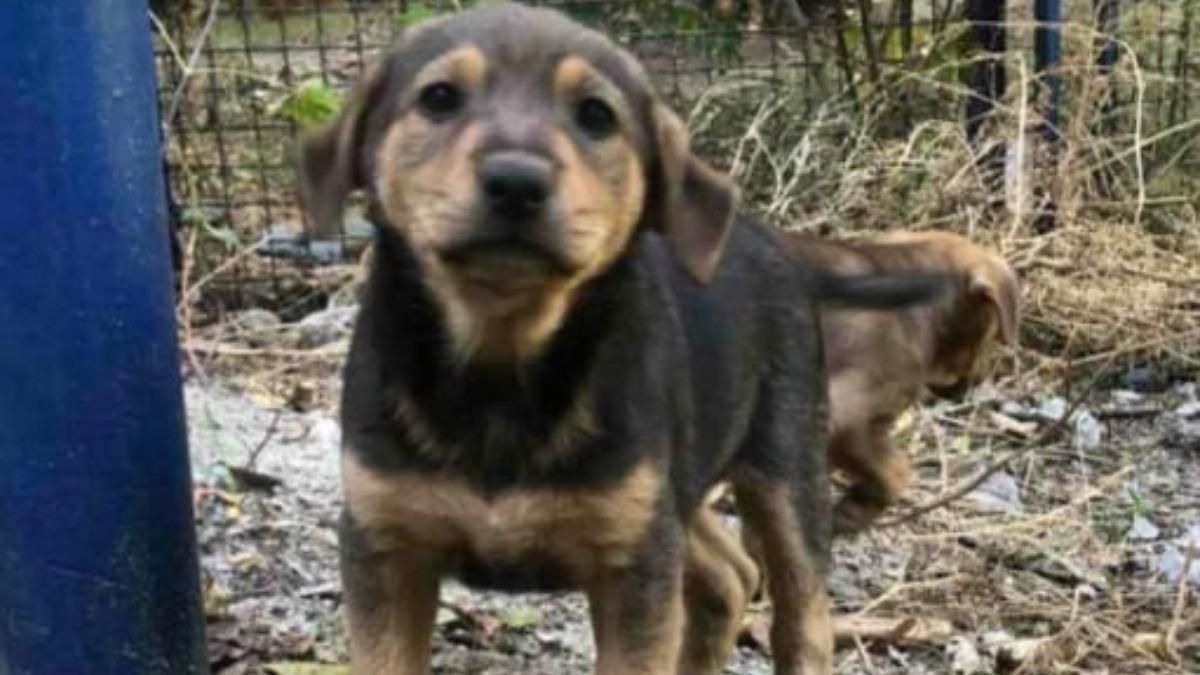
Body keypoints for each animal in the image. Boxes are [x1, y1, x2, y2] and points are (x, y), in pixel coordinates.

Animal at [297, 6, 945, 672]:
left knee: (801, 616)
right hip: (673, 485)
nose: (516, 181)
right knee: (730, 575)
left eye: (595, 115)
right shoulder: (383, 545)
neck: (502, 359)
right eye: (439, 98)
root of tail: (778, 242)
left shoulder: (635, 564)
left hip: (783, 462)